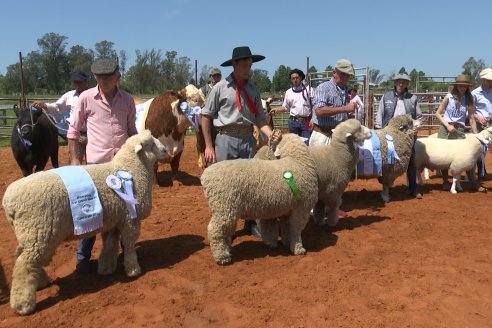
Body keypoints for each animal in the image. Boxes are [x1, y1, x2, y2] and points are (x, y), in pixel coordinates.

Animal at [1, 129, 167, 316]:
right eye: (150, 144)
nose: (166, 151)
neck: (131, 169)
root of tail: (9, 201)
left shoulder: (113, 220)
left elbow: (110, 245)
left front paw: (106, 268)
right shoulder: (130, 219)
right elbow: (129, 244)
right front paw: (133, 270)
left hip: (30, 233)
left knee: (23, 256)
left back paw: (41, 282)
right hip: (39, 230)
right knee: (25, 264)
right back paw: (23, 304)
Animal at [201, 133, 320, 264]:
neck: (297, 161)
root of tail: (205, 175)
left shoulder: (287, 209)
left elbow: (286, 227)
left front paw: (287, 242)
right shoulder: (302, 208)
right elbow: (296, 229)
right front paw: (298, 248)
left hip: (226, 208)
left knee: (225, 231)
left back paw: (226, 250)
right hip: (223, 206)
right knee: (214, 230)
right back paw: (222, 257)